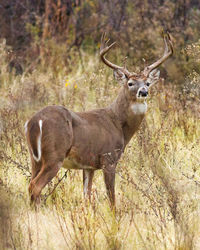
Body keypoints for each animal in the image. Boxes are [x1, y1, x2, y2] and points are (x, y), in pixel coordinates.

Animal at [24, 32, 172, 208]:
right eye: (130, 83)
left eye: (148, 83)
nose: (143, 92)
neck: (118, 124)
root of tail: (34, 122)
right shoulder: (108, 158)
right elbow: (111, 197)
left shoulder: (89, 165)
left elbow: (86, 195)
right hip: (55, 154)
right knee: (35, 186)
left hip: (35, 158)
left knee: (31, 183)